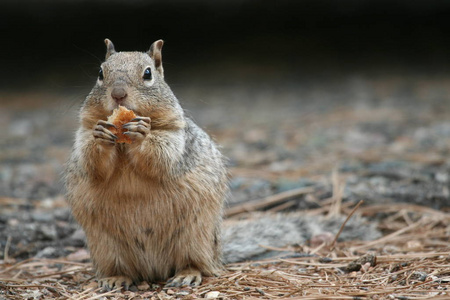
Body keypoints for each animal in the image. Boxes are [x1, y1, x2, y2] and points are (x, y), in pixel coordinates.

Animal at [64, 38, 227, 290]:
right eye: (100, 72)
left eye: (148, 73)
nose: (118, 94)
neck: (123, 145)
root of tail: (154, 270)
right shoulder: (83, 136)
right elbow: (92, 163)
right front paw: (101, 136)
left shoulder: (175, 137)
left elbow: (161, 156)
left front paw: (141, 133)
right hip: (106, 248)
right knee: (123, 269)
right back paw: (115, 278)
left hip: (196, 237)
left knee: (197, 263)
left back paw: (187, 274)